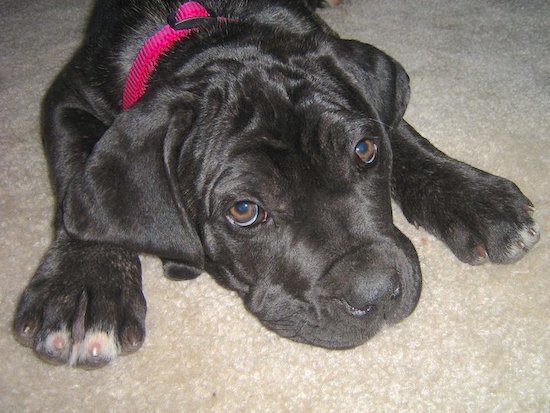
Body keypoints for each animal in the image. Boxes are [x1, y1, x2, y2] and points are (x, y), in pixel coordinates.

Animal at [12, 0, 540, 366]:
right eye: (244, 211)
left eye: (363, 151)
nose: (376, 293)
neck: (211, 30)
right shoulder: (66, 98)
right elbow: (80, 192)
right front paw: (85, 282)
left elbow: (401, 133)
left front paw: (474, 197)